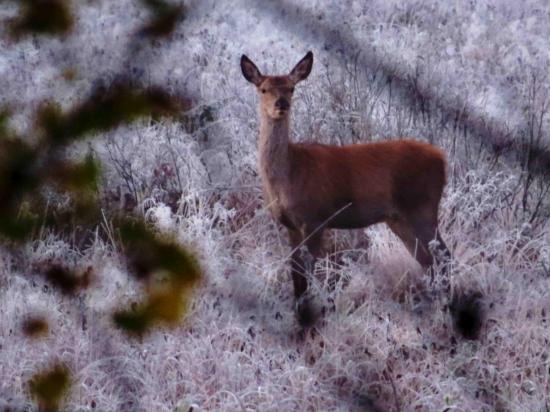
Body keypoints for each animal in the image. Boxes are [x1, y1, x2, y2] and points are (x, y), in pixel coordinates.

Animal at [242, 50, 452, 324]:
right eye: (263, 89)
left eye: (291, 88)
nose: (281, 104)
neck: (287, 176)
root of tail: (442, 158)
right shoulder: (290, 224)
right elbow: (296, 275)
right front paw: (298, 316)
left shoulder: (315, 218)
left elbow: (309, 273)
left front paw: (310, 318)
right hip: (398, 218)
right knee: (428, 260)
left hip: (422, 207)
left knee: (444, 257)